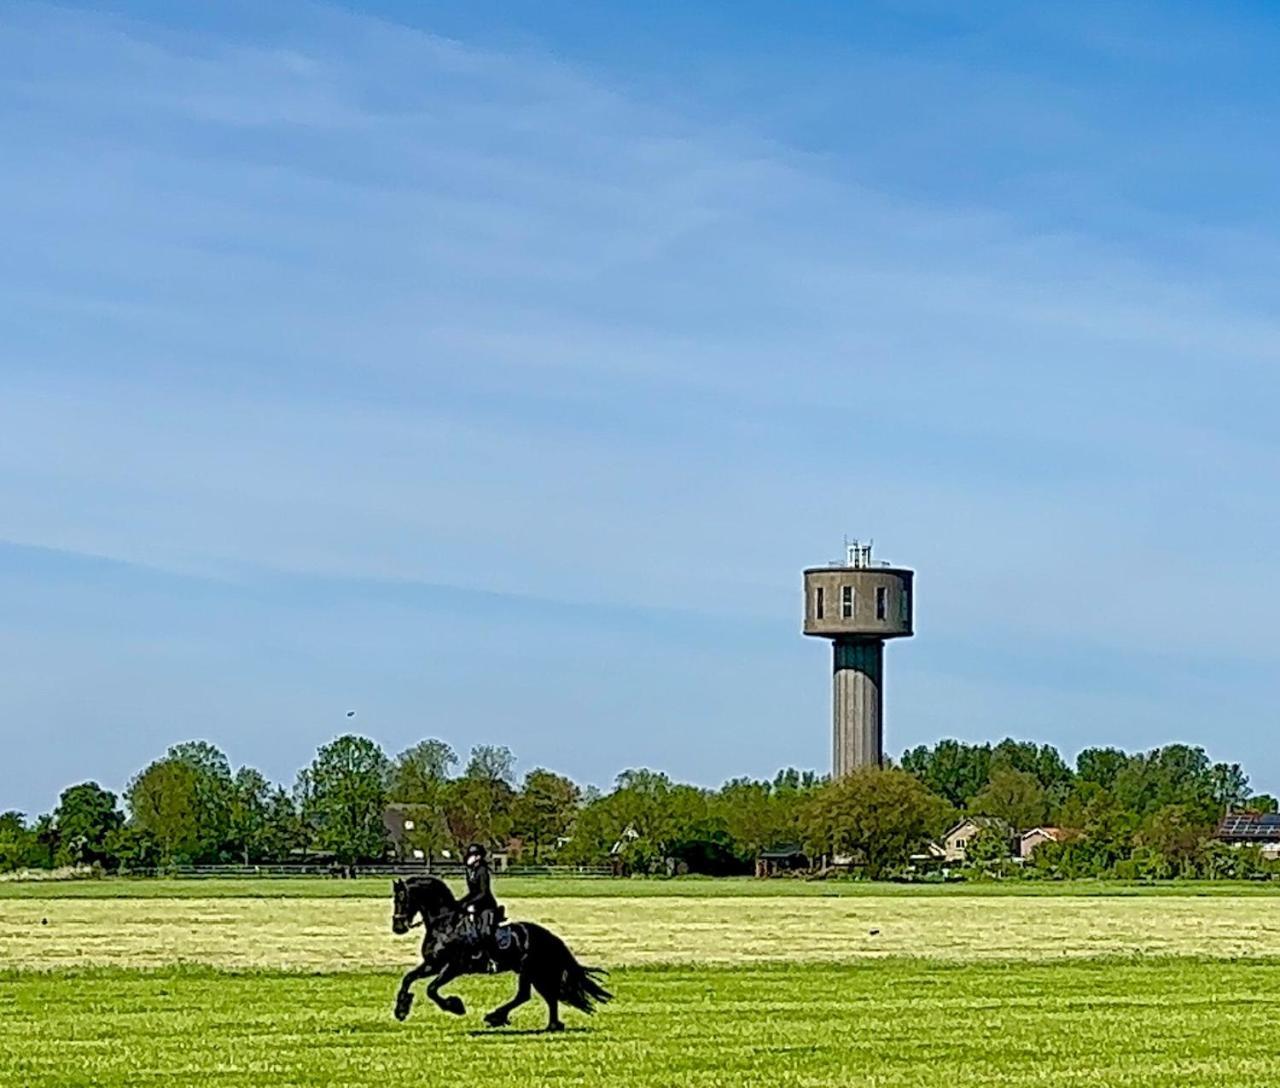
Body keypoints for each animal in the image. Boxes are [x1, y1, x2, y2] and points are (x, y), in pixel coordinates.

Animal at [389, 875, 609, 1024]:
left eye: (403, 898)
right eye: (395, 899)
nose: (398, 927)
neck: (445, 924)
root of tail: (546, 934)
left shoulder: (453, 967)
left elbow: (431, 989)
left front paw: (456, 1007)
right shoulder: (433, 964)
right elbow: (408, 978)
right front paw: (401, 1009)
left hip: (531, 970)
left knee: (527, 995)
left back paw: (496, 1017)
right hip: (535, 973)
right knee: (546, 995)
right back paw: (550, 1026)